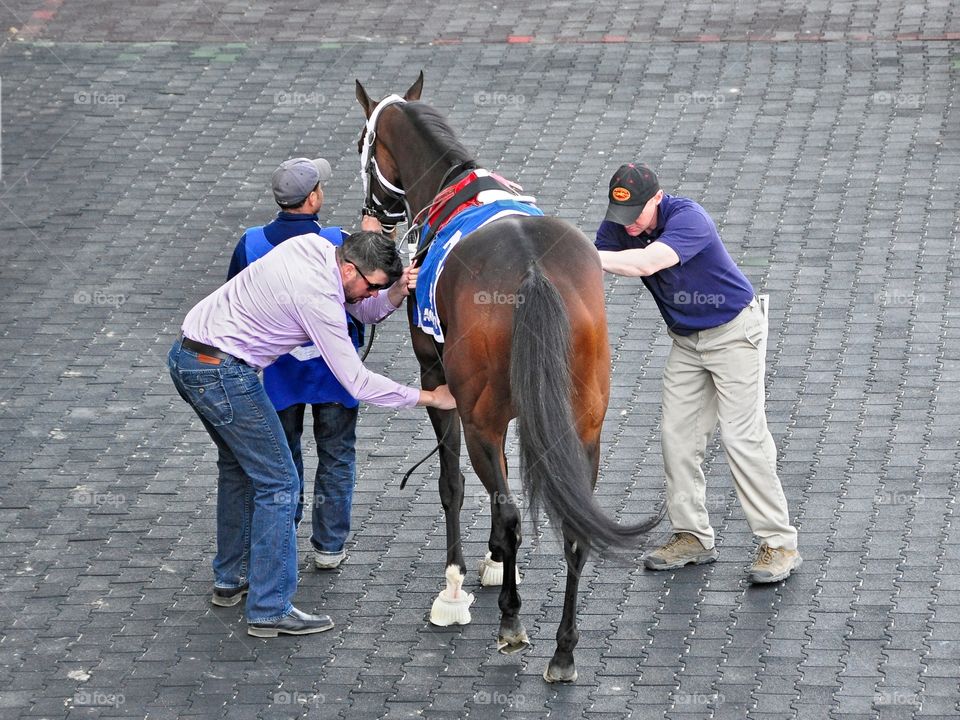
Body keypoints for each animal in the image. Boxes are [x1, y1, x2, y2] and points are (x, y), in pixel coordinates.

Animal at [352, 74, 660, 688]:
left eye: (361, 144)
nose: (374, 219)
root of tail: (532, 270)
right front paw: (496, 563)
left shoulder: (439, 382)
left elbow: (454, 485)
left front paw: (457, 588)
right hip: (583, 423)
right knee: (573, 525)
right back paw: (563, 650)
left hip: (481, 418)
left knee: (511, 509)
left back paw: (512, 623)